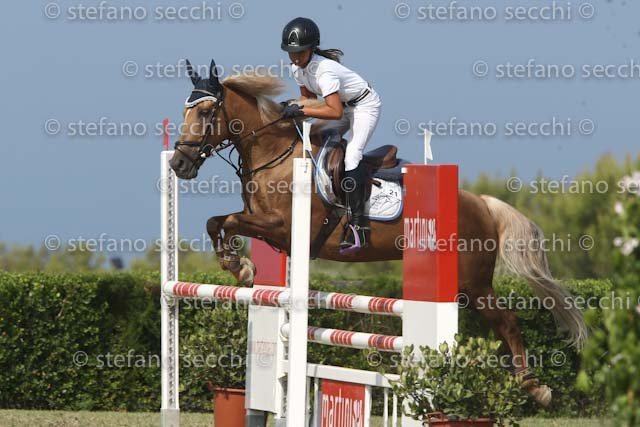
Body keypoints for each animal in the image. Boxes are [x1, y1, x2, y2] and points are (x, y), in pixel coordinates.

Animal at [168, 60, 587, 406]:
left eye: (204, 111)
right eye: (184, 110)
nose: (178, 164)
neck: (276, 156)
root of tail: (481, 203)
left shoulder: (284, 229)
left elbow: (226, 222)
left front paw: (239, 266)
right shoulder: (267, 227)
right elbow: (217, 221)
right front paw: (236, 263)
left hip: (473, 283)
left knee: (509, 323)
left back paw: (535, 387)